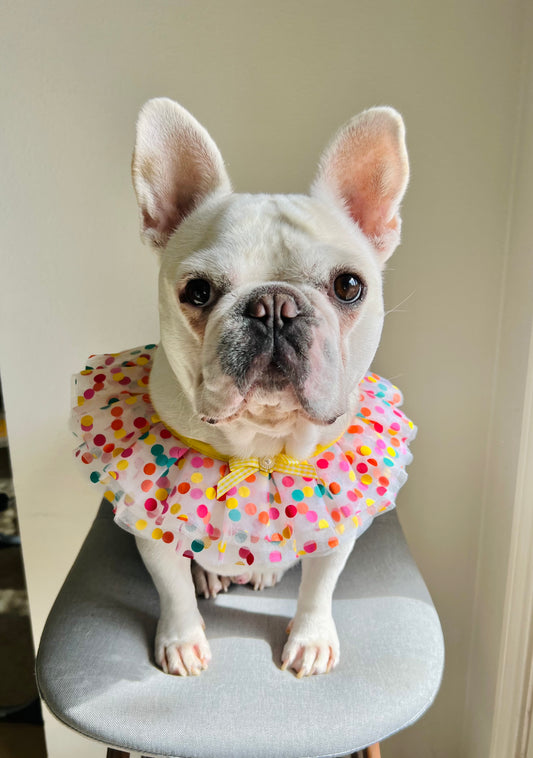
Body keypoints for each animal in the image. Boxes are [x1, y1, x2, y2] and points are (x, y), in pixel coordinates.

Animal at [71, 98, 412, 680]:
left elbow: (320, 586)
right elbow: (172, 588)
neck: (262, 445)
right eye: (197, 291)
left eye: (349, 286)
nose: (273, 305)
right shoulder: (150, 528)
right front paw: (182, 641)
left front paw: (310, 639)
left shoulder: (337, 527)